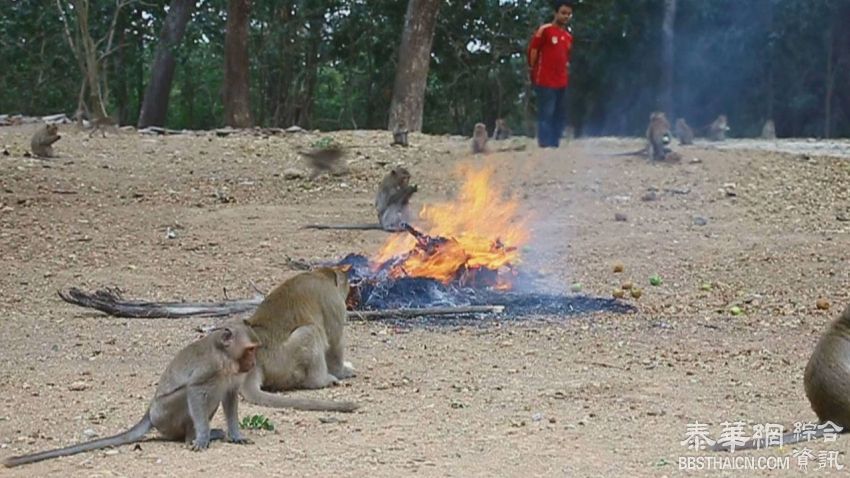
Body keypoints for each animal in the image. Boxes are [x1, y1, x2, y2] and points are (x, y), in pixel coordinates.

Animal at [3, 322, 258, 466]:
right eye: (249, 350)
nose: (252, 363)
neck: (226, 357)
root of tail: (150, 413)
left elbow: (230, 396)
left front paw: (236, 435)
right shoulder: (209, 367)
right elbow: (195, 390)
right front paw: (202, 438)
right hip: (165, 414)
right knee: (192, 394)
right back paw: (193, 437)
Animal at [238, 268, 358, 412]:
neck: (320, 275)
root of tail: (257, 357)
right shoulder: (334, 301)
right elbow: (334, 342)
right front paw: (343, 372)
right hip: (283, 362)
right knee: (311, 331)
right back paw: (320, 380)